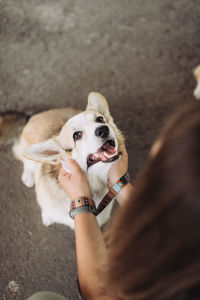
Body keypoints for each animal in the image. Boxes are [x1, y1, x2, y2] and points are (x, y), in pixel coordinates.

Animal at [12, 92, 123, 229]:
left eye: (100, 119)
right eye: (76, 135)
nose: (103, 129)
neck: (94, 185)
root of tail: (34, 116)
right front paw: (47, 217)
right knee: (24, 160)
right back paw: (27, 177)